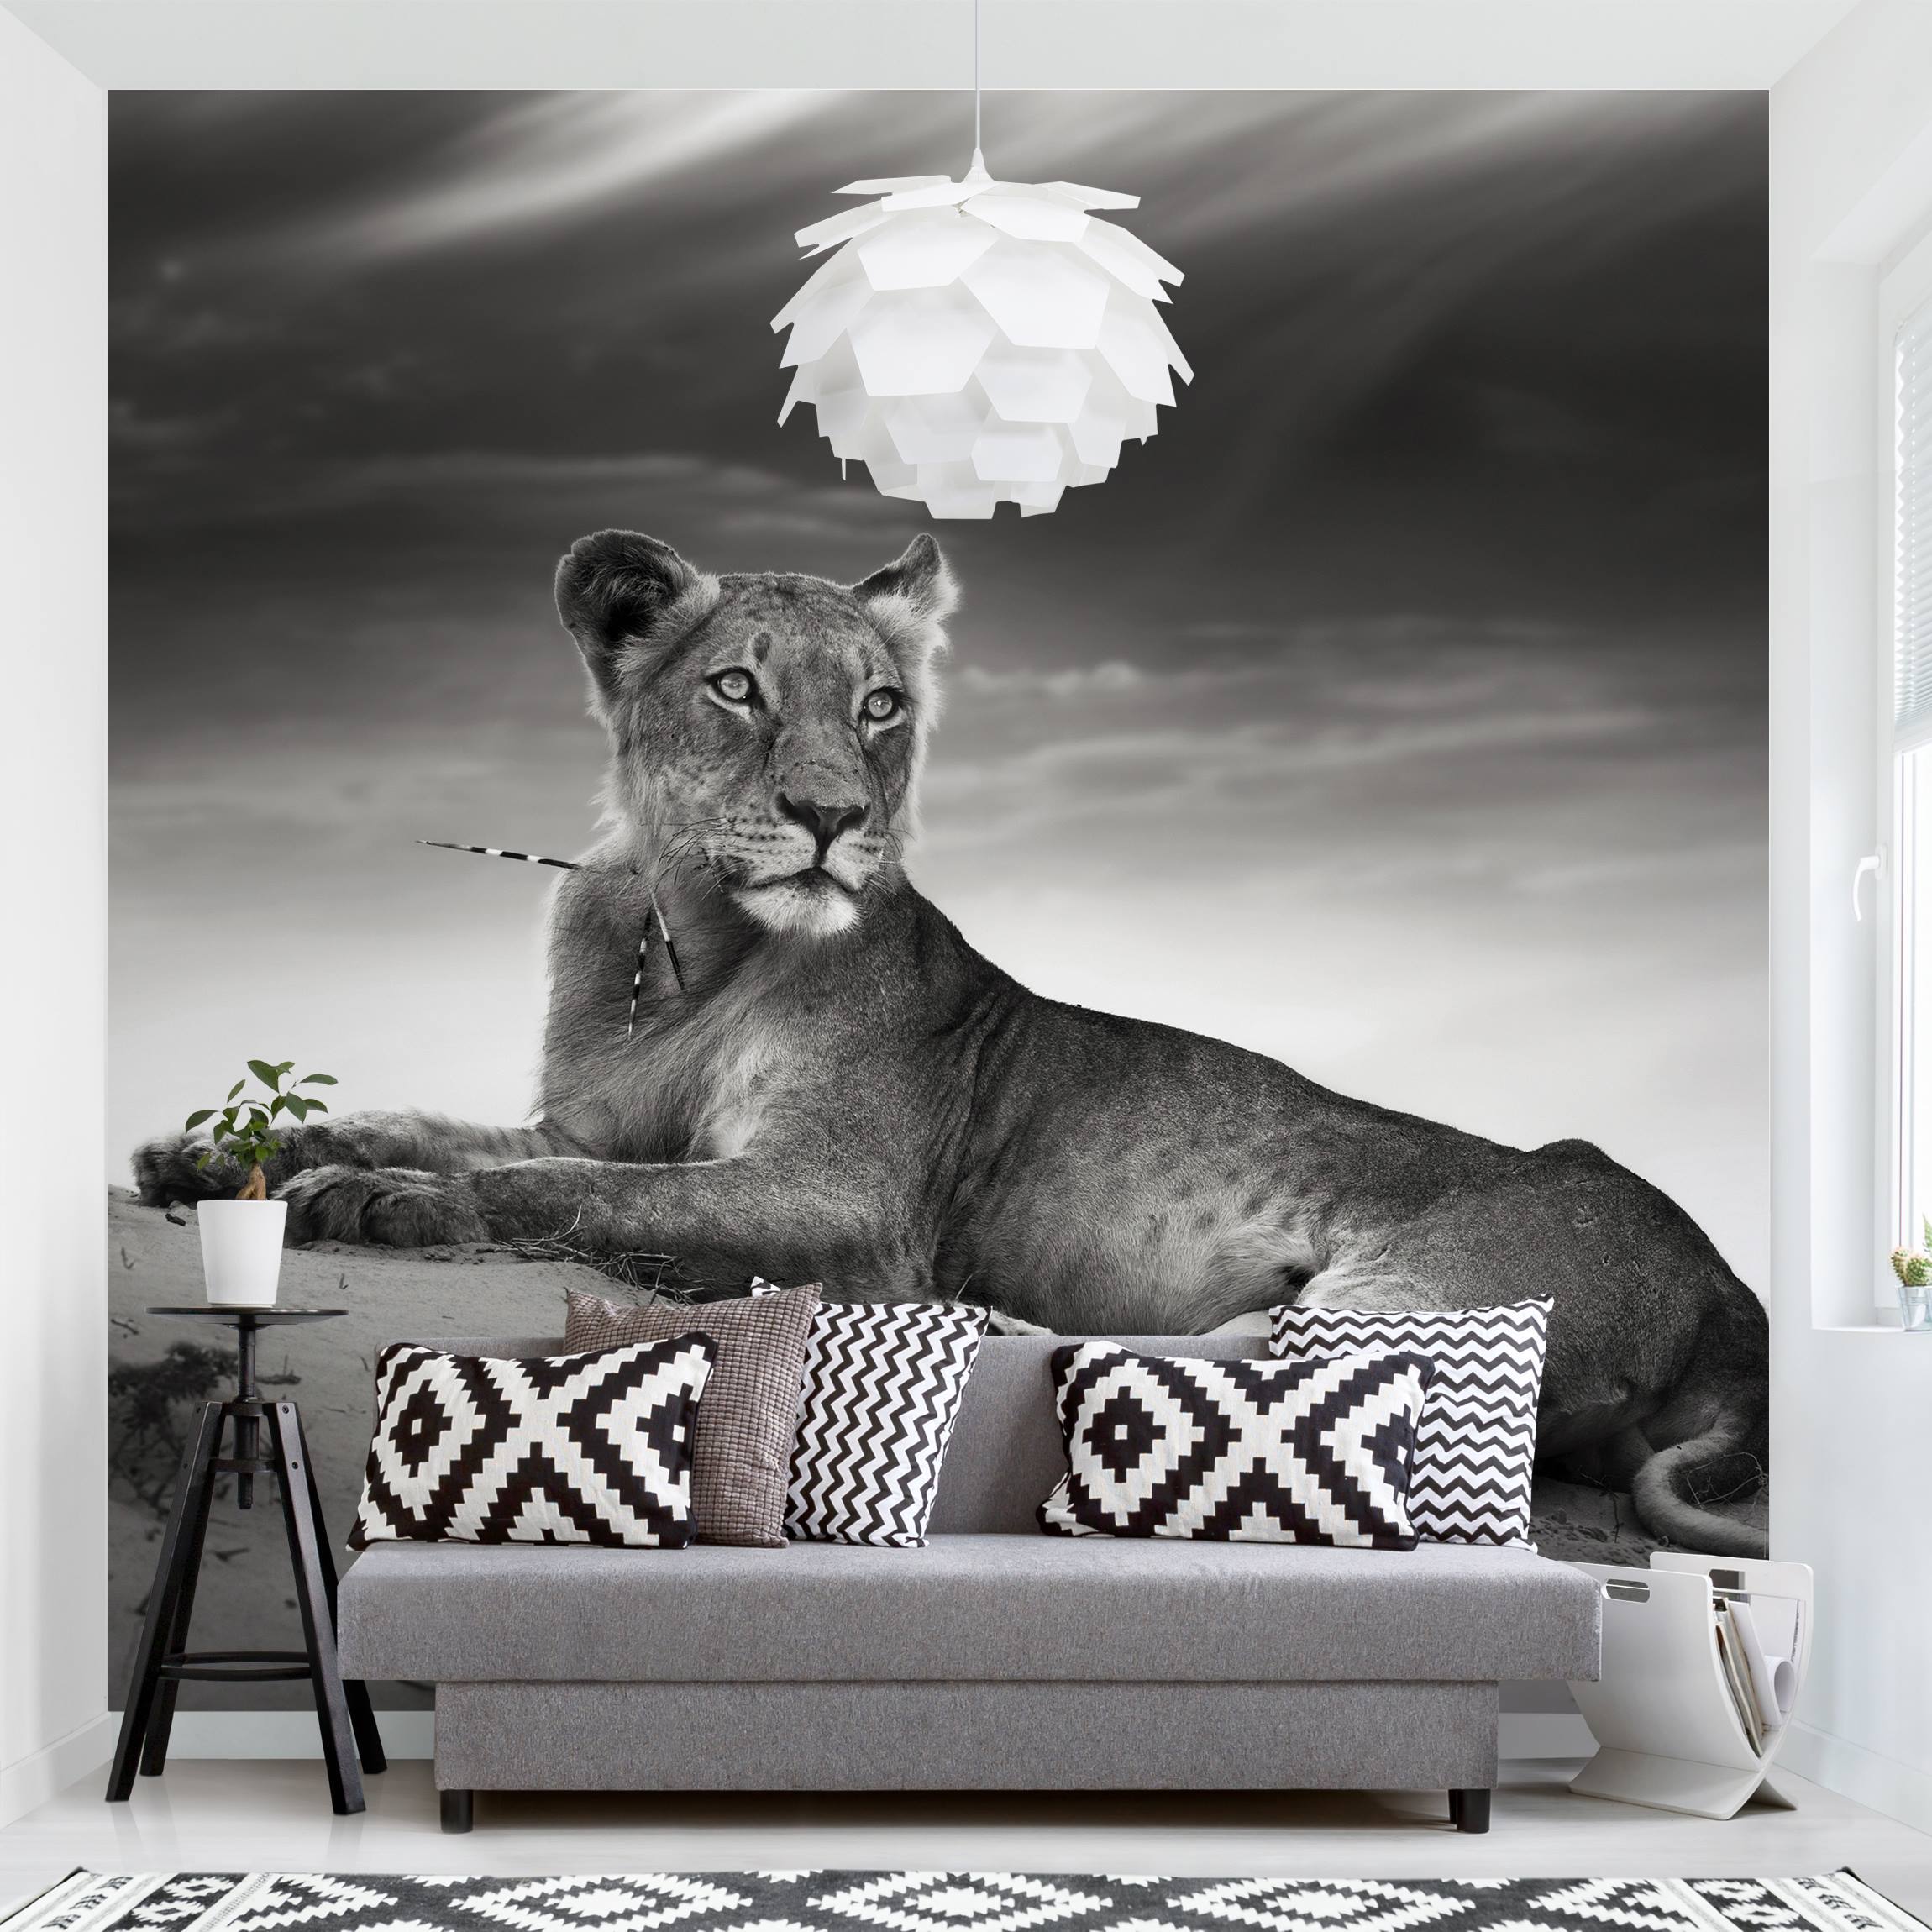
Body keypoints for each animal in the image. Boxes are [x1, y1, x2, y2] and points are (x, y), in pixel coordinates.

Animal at [136, 528, 1769, 1556]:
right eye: (737, 687)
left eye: (879, 706)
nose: (831, 816)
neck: (690, 945)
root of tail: (1728, 1288)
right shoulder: (584, 1117)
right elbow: (436, 1124)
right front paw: (225, 1159)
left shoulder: (852, 1203)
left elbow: (580, 1195)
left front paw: (381, 1202)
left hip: (1395, 1301)